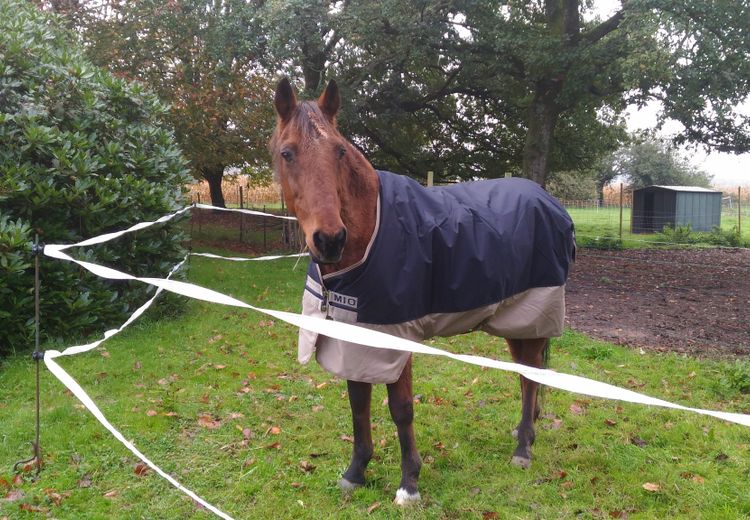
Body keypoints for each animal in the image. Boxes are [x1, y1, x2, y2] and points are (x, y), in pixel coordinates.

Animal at [270, 78, 576, 504]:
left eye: (339, 151)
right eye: (287, 153)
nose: (329, 239)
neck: (371, 231)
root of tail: (550, 202)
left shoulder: (395, 337)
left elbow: (401, 409)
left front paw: (409, 484)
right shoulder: (353, 335)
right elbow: (358, 402)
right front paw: (355, 472)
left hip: (531, 313)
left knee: (530, 375)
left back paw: (523, 449)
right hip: (516, 320)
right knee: (526, 373)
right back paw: (523, 431)